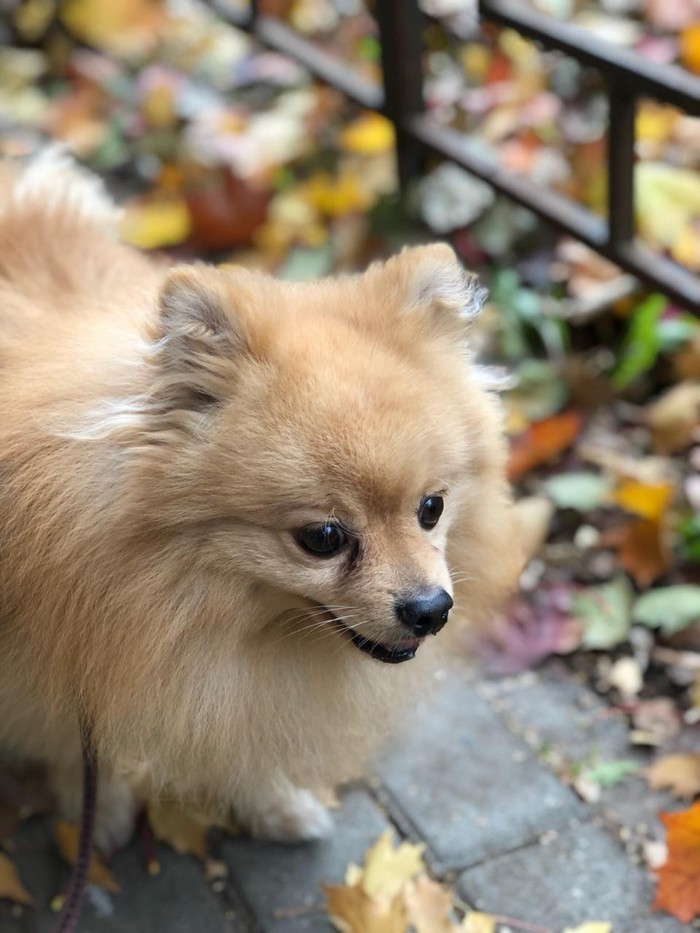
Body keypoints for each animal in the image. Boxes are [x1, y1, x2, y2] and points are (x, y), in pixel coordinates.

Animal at [0, 153, 520, 852]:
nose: (431, 609)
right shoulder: (56, 668)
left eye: (431, 508)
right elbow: (74, 746)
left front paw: (273, 804)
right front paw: (99, 814)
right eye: (322, 538)